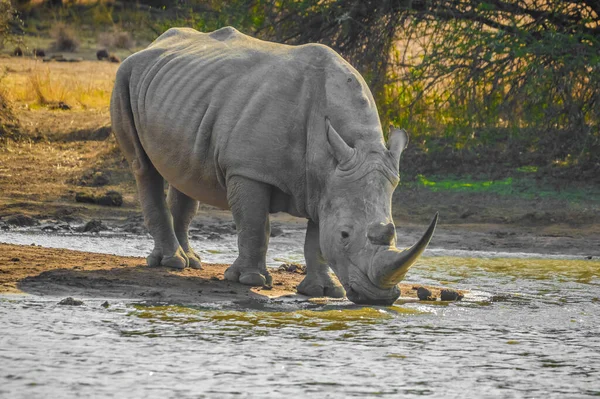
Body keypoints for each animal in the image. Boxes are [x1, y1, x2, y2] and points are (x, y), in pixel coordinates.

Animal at [110, 26, 436, 304]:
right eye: (345, 235)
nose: (379, 298)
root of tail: (152, 44)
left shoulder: (327, 181)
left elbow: (317, 239)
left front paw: (324, 291)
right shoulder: (249, 170)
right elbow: (255, 224)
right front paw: (249, 280)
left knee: (184, 173)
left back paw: (191, 262)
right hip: (124, 76)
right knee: (144, 167)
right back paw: (172, 262)